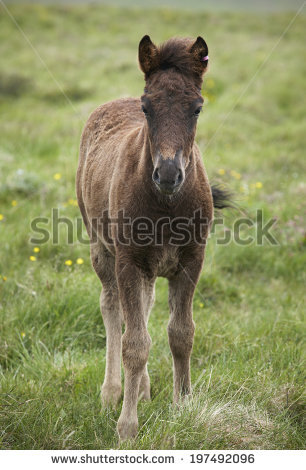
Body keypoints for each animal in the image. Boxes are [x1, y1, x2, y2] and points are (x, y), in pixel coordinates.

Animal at [76, 35, 228, 438]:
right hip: (103, 250)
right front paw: (127, 427)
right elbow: (134, 343)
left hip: (151, 265)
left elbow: (181, 334)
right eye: (147, 108)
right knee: (112, 308)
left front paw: (183, 408)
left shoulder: (191, 261)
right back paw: (112, 393)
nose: (169, 173)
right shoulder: (129, 261)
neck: (167, 207)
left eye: (197, 109)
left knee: (145, 306)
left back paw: (142, 389)